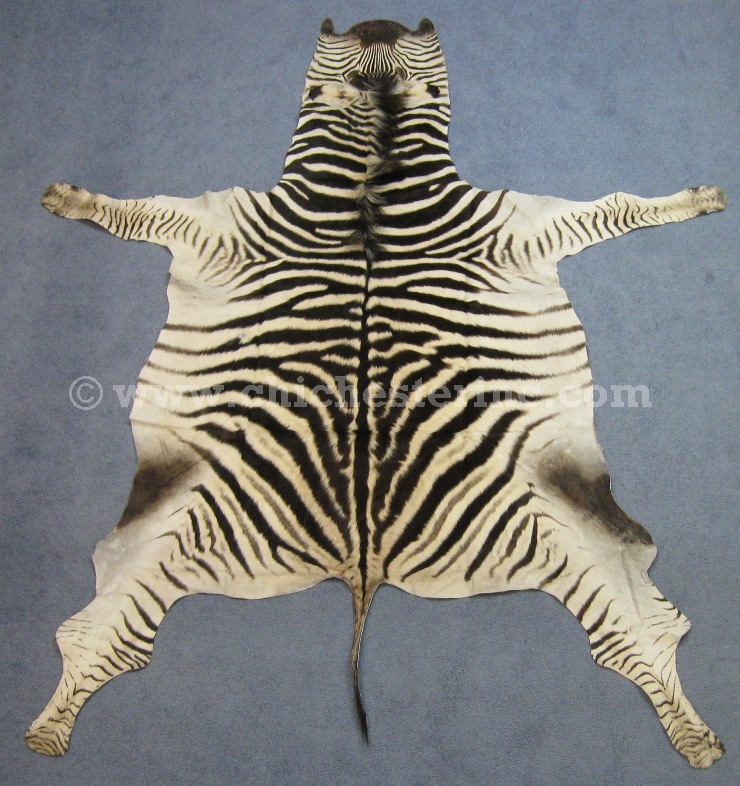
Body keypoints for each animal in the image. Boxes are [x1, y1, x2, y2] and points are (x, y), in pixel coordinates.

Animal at [27, 18, 726, 768]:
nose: (379, 22)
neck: (371, 165)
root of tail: (362, 567)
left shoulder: (521, 226)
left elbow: (619, 206)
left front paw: (700, 198)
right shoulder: (212, 223)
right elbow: (130, 209)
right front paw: (66, 198)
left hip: (566, 530)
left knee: (640, 631)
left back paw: (696, 738)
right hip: (172, 528)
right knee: (96, 636)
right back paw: (47, 730)